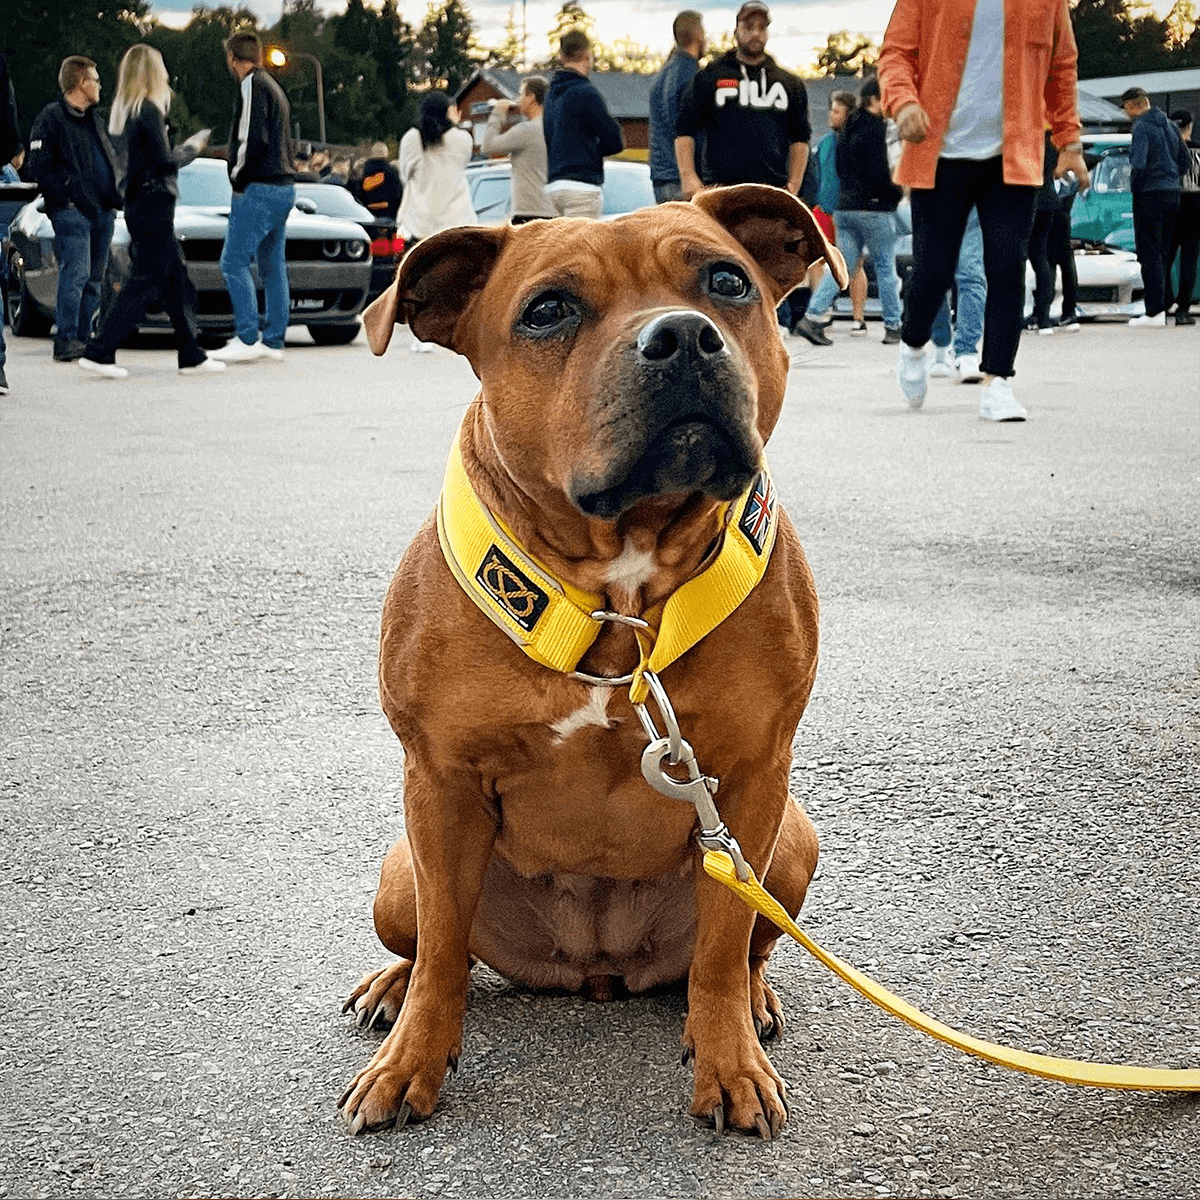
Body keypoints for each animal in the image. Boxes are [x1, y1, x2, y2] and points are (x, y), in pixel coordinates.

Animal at [338, 184, 844, 1132]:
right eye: (548, 311)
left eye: (728, 280)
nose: (682, 336)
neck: (620, 592)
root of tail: (595, 967)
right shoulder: (439, 783)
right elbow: (443, 954)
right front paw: (410, 1064)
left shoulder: (753, 780)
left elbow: (722, 946)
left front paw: (729, 1063)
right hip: (397, 872)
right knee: (432, 946)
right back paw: (391, 987)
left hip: (793, 841)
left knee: (748, 945)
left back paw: (754, 1002)